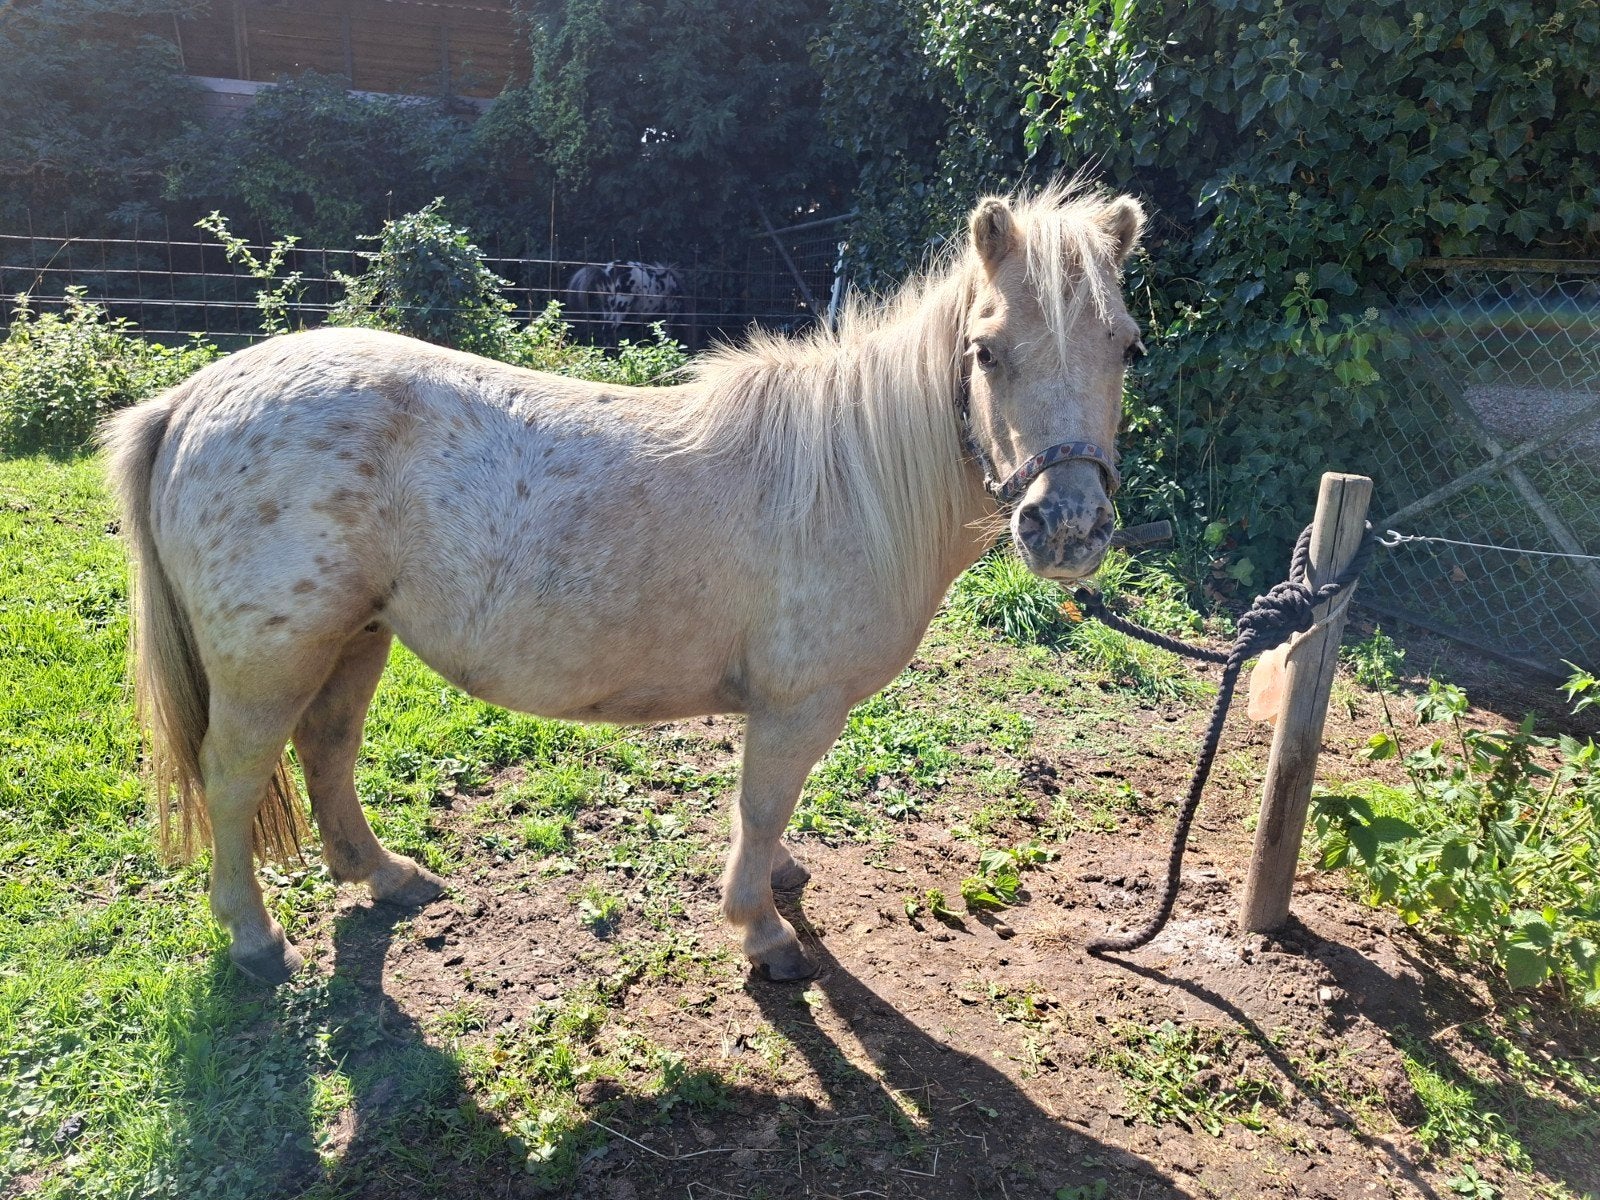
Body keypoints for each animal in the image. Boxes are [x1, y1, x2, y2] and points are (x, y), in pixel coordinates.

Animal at [102, 185, 1146, 986]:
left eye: (1127, 347)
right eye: (986, 349)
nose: (1068, 529)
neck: (850, 478)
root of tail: (192, 398)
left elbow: (776, 809)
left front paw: (779, 879)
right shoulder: (798, 705)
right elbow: (761, 805)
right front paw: (762, 932)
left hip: (357, 638)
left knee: (326, 750)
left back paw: (388, 876)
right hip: (269, 664)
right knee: (234, 778)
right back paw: (254, 939)